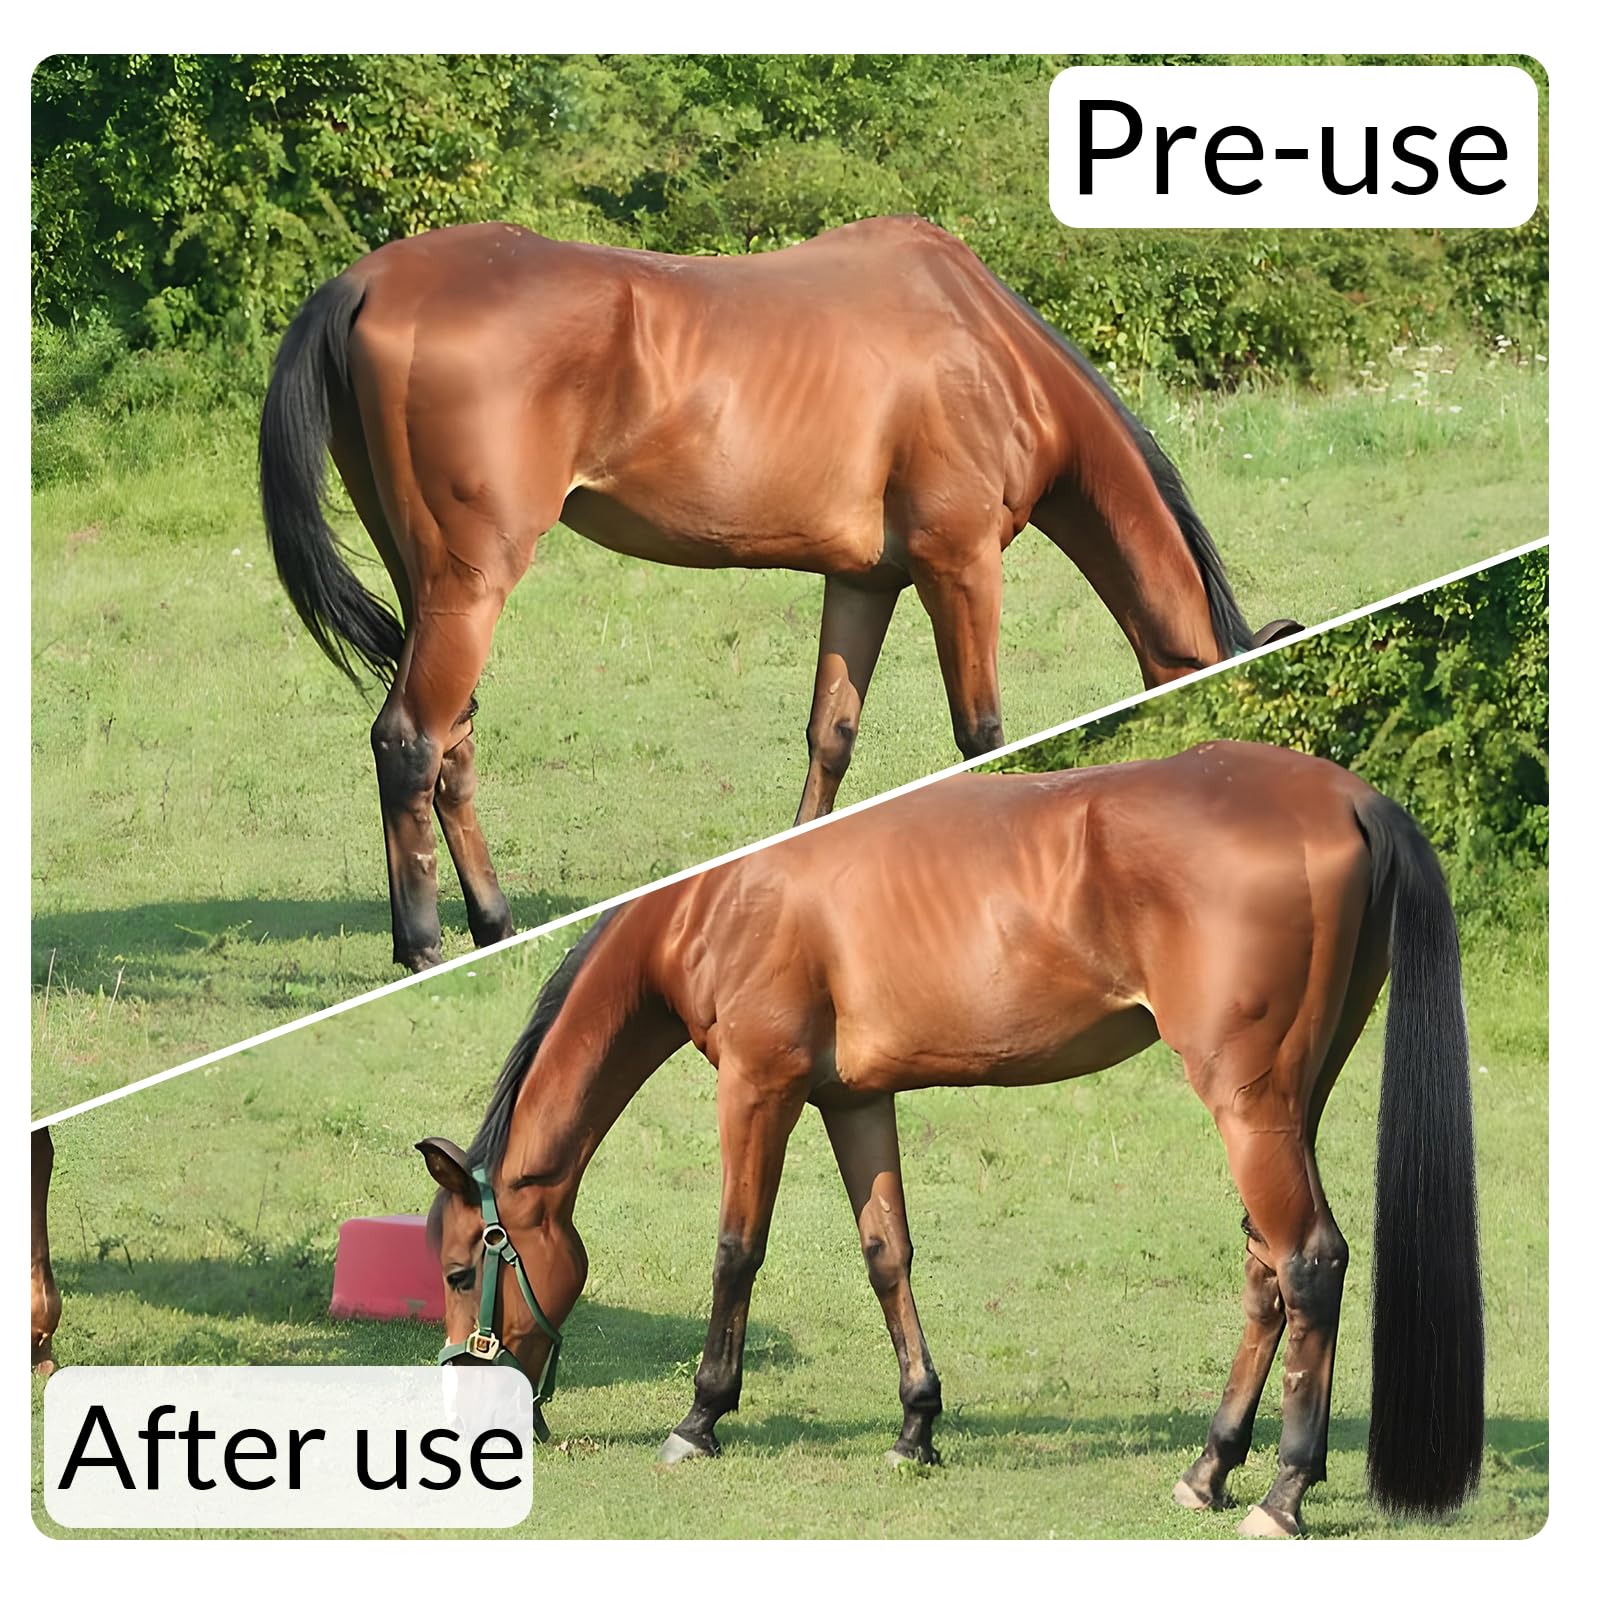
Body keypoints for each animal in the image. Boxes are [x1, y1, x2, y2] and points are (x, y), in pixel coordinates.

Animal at [261, 215, 1301, 973]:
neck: (986, 348)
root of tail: (368, 283)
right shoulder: (959, 565)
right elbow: (981, 735)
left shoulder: (864, 580)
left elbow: (830, 736)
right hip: (471, 585)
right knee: (410, 741)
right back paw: (423, 946)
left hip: (431, 585)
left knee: (454, 743)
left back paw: (496, 923)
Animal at [418, 740, 1483, 1538]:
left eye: (462, 1270)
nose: (469, 1423)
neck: (717, 898)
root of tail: (1346, 797)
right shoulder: (852, 1099)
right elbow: (887, 1253)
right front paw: (915, 1428)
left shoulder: (758, 1088)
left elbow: (736, 1250)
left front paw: (700, 1418)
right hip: (1290, 1101)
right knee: (1268, 1271)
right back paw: (1208, 1469)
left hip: (1247, 1103)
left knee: (1309, 1263)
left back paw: (1283, 1493)